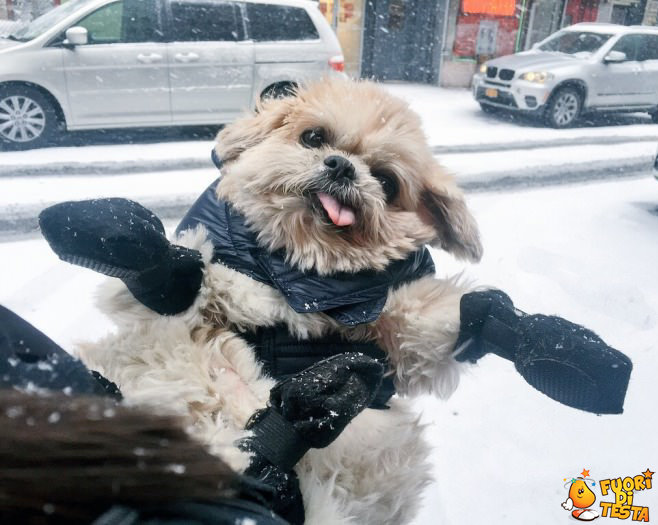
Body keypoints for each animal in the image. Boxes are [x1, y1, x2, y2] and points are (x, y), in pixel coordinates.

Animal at [78, 79, 482, 524]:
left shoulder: (391, 333)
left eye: (387, 182)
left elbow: (420, 332)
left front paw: (490, 317)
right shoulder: (173, 323)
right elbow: (174, 297)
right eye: (313, 137)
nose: (342, 166)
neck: (299, 271)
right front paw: (149, 257)